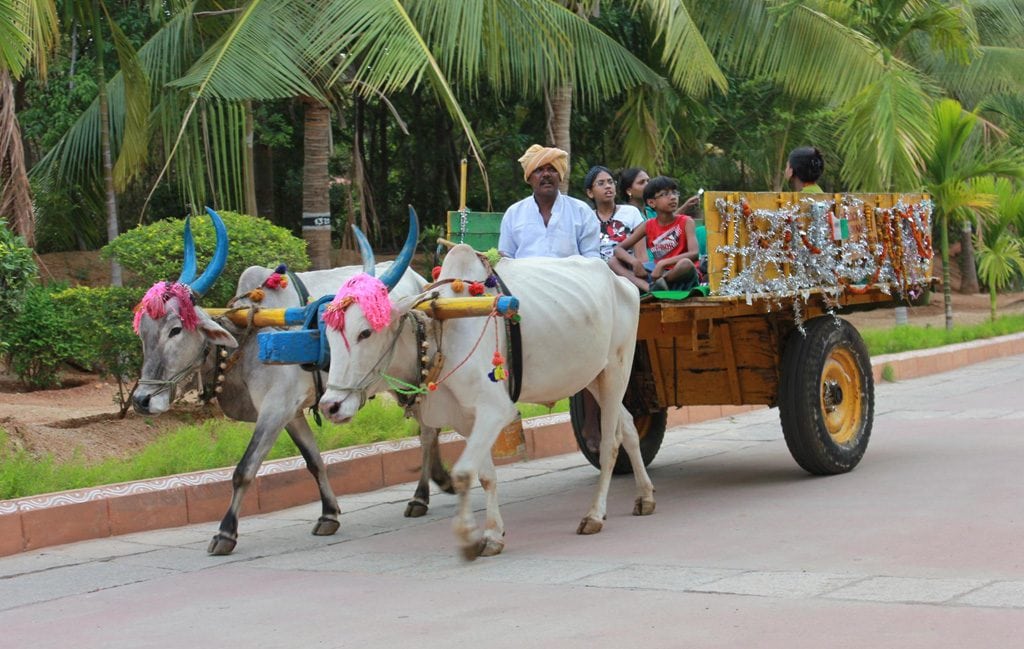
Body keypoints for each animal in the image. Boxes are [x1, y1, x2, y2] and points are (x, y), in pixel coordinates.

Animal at [319, 242, 655, 556]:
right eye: (329, 334)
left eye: (365, 332)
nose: (330, 406)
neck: (441, 332)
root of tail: (621, 282)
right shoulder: (466, 419)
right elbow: (485, 476)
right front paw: (493, 534)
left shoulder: (495, 410)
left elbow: (464, 473)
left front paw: (471, 535)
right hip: (595, 377)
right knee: (627, 427)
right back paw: (645, 496)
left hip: (616, 369)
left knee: (610, 443)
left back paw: (595, 515)